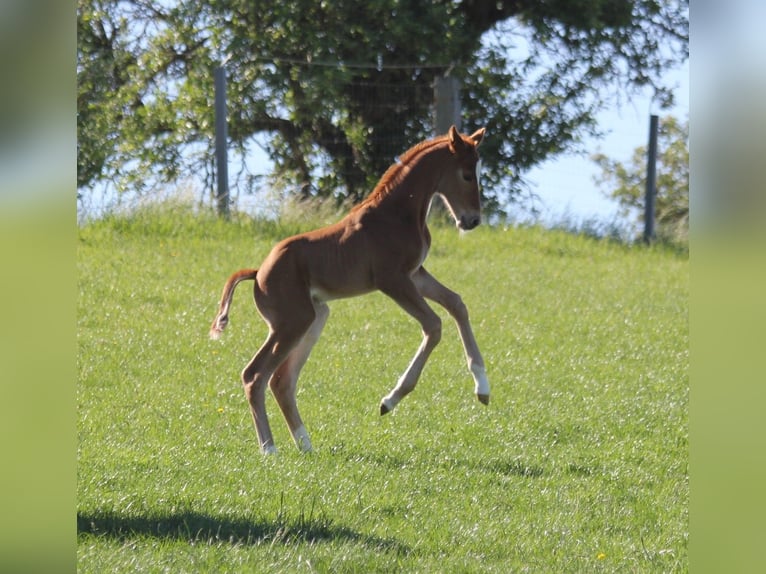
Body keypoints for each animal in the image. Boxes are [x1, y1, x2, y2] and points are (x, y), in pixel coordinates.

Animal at [212, 126, 492, 454]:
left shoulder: (416, 274)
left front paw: (483, 388)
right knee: (254, 374)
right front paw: (389, 401)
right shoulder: (392, 279)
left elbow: (457, 303)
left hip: (314, 317)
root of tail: (258, 274)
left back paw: (305, 445)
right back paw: (269, 449)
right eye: (466, 175)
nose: (472, 220)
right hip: (292, 323)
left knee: (281, 380)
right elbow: (434, 325)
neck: (397, 212)